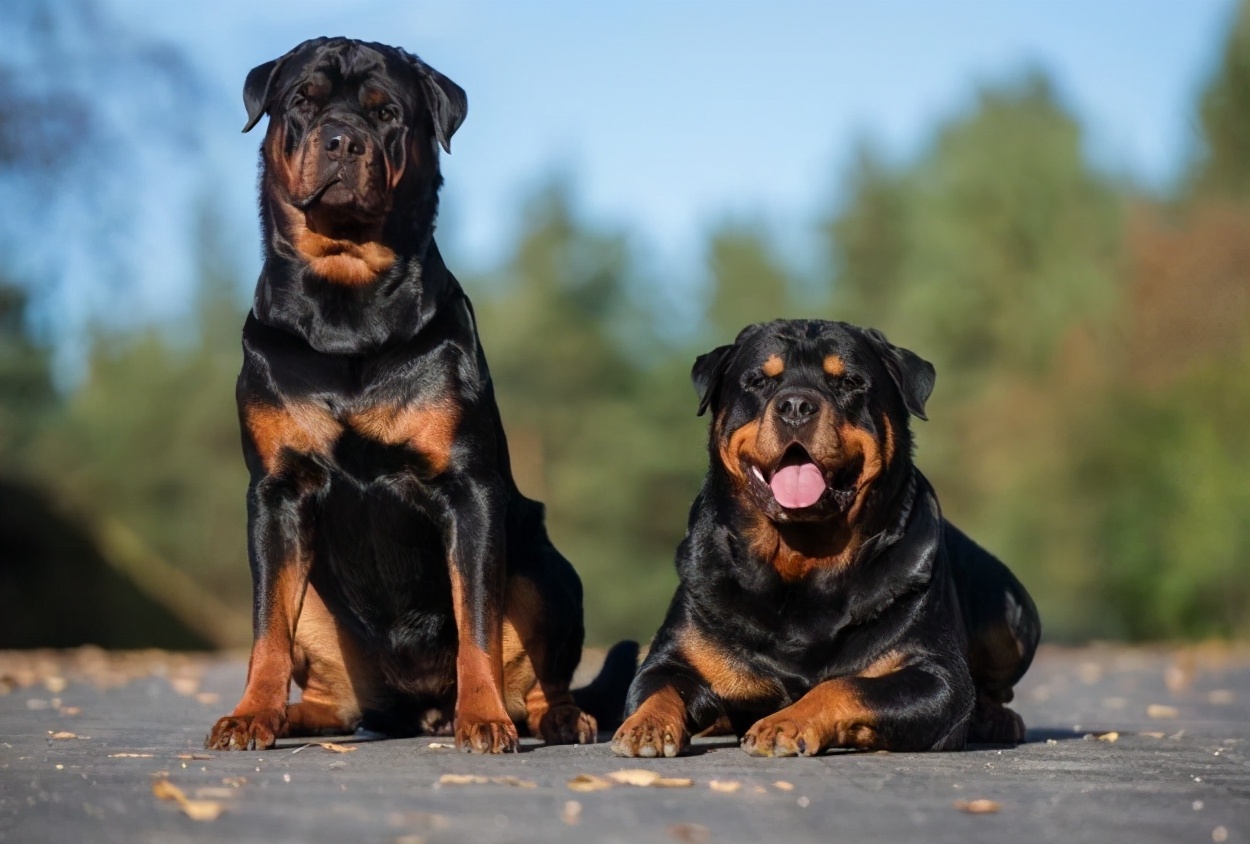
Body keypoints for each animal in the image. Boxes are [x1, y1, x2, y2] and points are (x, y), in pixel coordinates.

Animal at [207, 36, 635, 755]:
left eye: (386, 113)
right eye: (303, 101)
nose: (343, 138)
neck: (347, 304)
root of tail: (418, 706)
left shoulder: (468, 490)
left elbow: (477, 625)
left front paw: (483, 716)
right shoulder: (276, 491)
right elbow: (267, 628)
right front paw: (249, 714)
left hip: (547, 573)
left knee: (543, 673)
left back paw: (552, 716)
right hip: (322, 613)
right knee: (334, 693)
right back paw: (295, 714)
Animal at [612, 322, 1035, 760]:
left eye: (849, 381)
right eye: (758, 381)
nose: (796, 405)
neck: (802, 558)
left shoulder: (936, 676)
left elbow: (844, 685)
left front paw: (785, 722)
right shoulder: (673, 657)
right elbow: (660, 686)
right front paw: (647, 725)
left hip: (1012, 621)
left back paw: (995, 718)